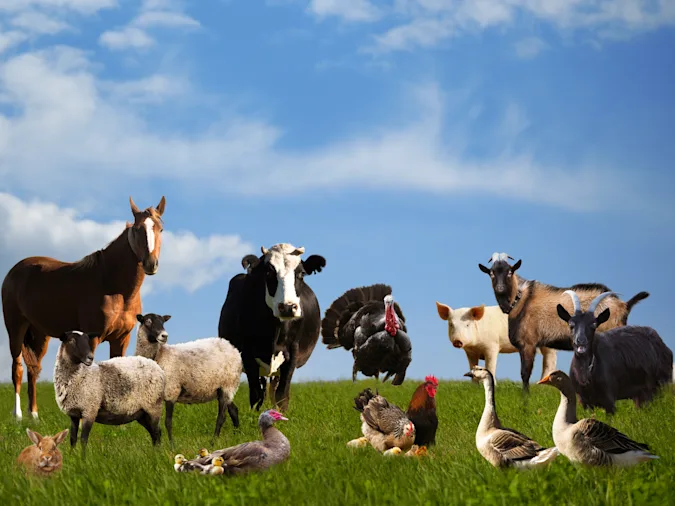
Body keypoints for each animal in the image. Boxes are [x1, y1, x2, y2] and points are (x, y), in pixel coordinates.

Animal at [218, 243, 326, 412]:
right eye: (268, 271)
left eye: (301, 273)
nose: (287, 307)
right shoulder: (247, 353)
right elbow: (255, 394)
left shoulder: (292, 352)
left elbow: (282, 394)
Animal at [478, 252, 649, 391]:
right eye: (491, 273)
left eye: (510, 272)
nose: (500, 288)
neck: (520, 301)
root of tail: (624, 305)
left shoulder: (528, 343)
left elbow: (525, 374)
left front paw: (525, 399)